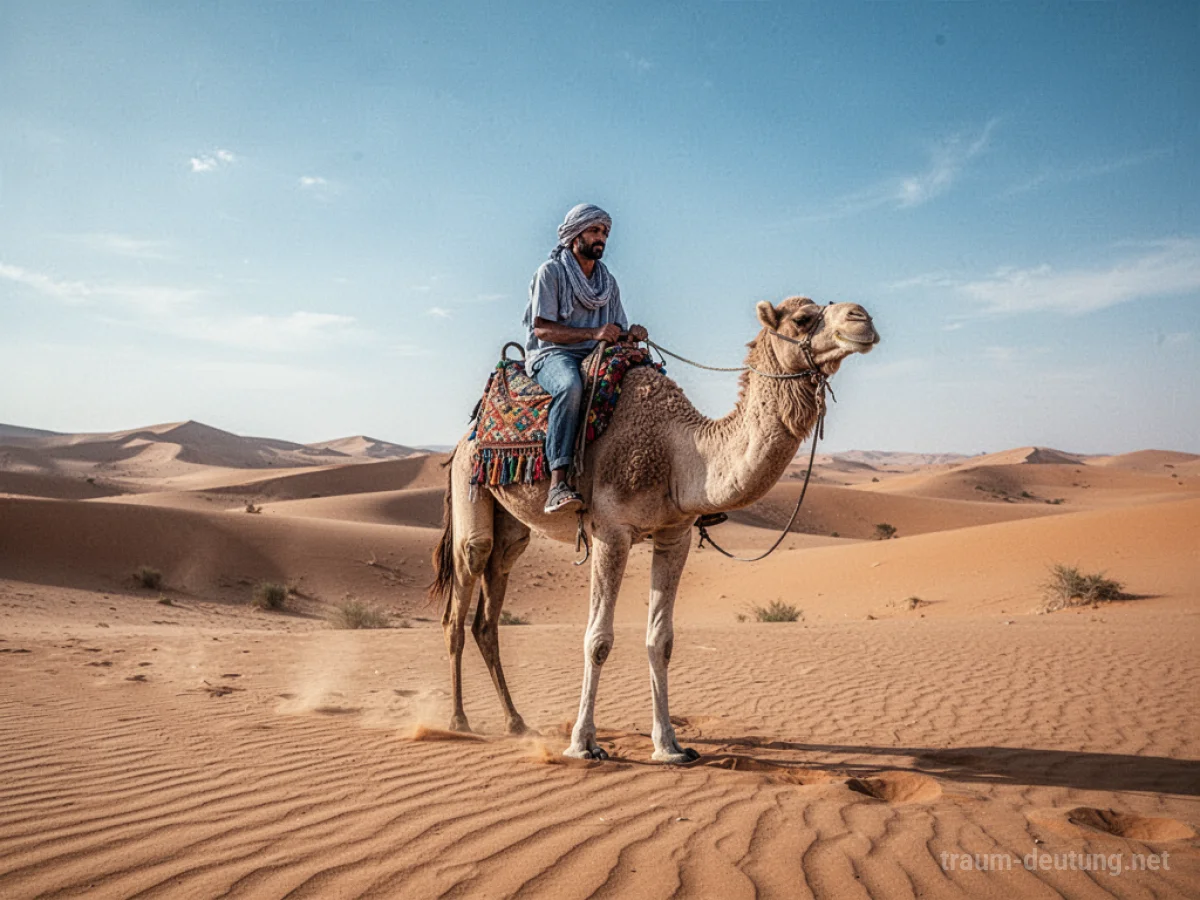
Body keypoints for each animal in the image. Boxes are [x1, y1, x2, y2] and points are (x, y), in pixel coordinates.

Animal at [430, 296, 880, 762]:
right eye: (803, 319)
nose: (862, 319)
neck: (680, 454)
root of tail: (466, 435)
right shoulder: (610, 532)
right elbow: (598, 640)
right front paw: (583, 743)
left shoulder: (674, 534)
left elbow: (661, 640)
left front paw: (669, 745)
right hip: (469, 488)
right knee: (461, 595)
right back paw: (459, 721)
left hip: (512, 531)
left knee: (489, 610)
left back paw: (516, 723)